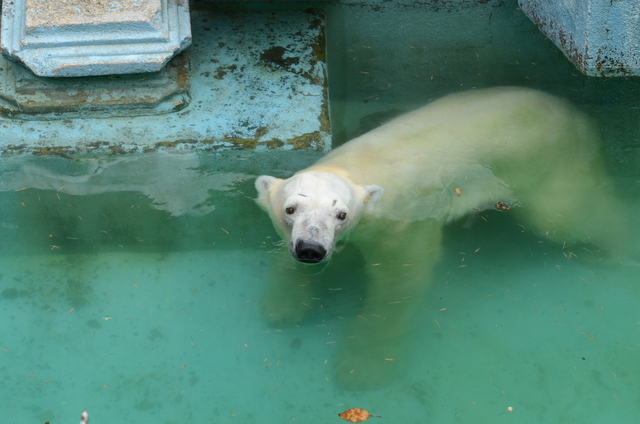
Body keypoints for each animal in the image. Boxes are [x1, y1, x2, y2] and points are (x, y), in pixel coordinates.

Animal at [254, 87, 624, 390]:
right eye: (290, 209)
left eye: (341, 214)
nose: (311, 250)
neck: (357, 169)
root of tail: (580, 115)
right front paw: (284, 304)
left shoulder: (405, 223)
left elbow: (399, 284)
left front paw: (363, 367)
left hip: (546, 164)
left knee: (568, 216)